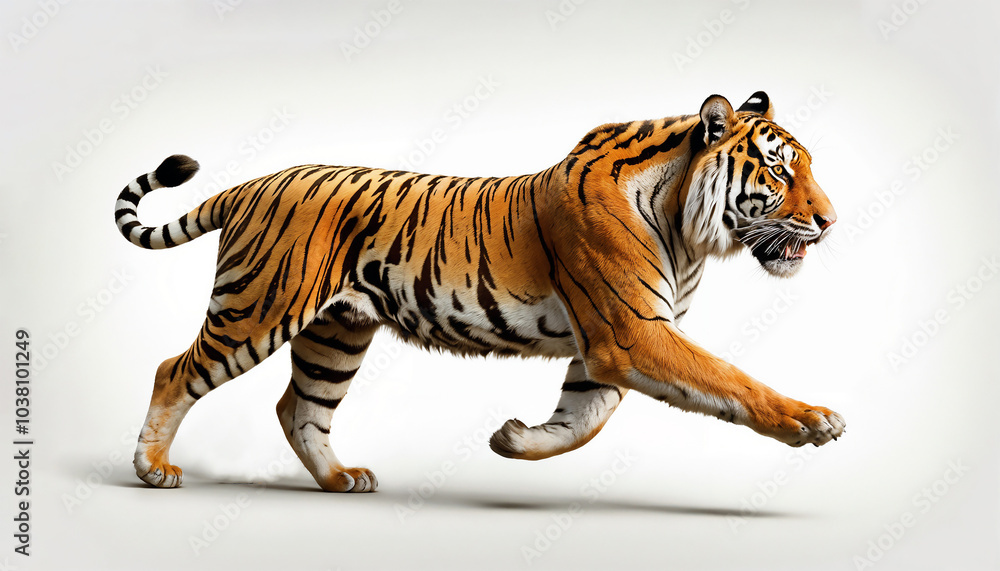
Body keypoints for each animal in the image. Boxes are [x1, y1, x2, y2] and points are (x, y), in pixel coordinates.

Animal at [115, 91, 844, 493]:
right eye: (780, 170)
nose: (832, 220)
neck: (688, 227)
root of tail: (251, 183)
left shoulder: (608, 346)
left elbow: (584, 421)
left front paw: (514, 441)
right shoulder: (633, 331)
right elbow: (731, 380)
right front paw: (812, 419)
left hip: (336, 333)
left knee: (299, 407)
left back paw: (341, 479)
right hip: (258, 306)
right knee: (174, 370)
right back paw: (153, 467)